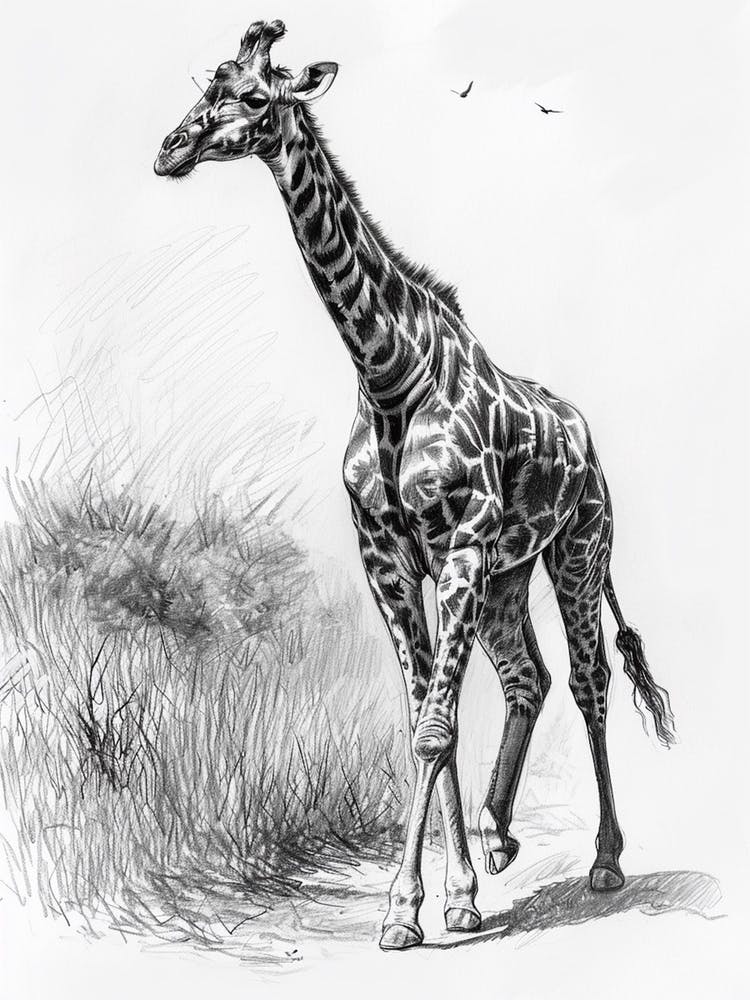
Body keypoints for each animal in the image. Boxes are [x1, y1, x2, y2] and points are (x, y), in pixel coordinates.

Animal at [154, 19, 676, 950]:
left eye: (253, 96)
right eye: (206, 83)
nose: (169, 150)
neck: (389, 373)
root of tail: (588, 442)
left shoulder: (458, 546)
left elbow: (436, 728)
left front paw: (411, 909)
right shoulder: (391, 558)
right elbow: (426, 722)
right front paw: (448, 895)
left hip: (577, 552)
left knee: (589, 680)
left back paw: (606, 860)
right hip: (509, 575)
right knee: (529, 679)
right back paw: (501, 837)